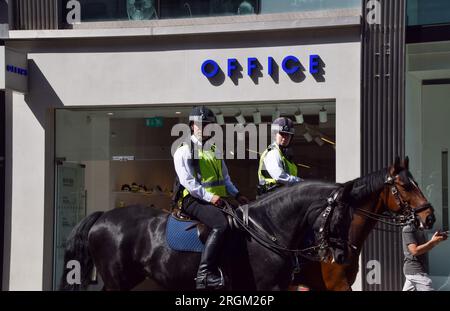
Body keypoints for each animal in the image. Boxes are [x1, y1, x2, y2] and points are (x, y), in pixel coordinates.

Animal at [59, 180, 356, 292]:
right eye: (340, 218)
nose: (343, 255)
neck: (266, 227)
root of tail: (103, 217)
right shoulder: (266, 286)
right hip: (117, 280)